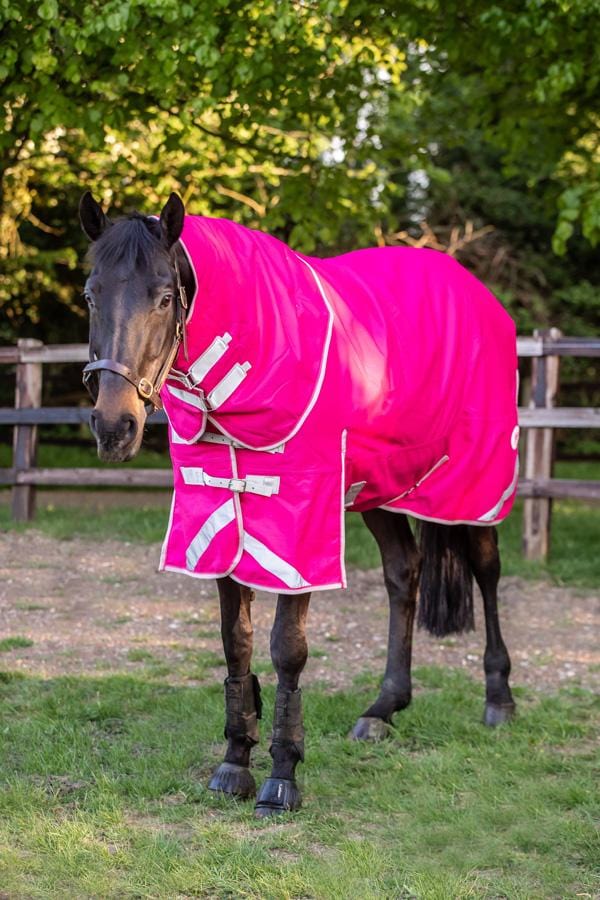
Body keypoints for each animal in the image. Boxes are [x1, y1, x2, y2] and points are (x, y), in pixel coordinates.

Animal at [79, 191, 517, 817]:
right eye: (91, 295)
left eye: (164, 297)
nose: (115, 426)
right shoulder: (220, 514)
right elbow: (234, 641)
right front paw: (235, 762)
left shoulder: (300, 522)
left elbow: (287, 648)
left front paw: (282, 776)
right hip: (380, 486)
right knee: (403, 573)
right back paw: (383, 708)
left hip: (473, 485)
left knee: (486, 569)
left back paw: (499, 699)